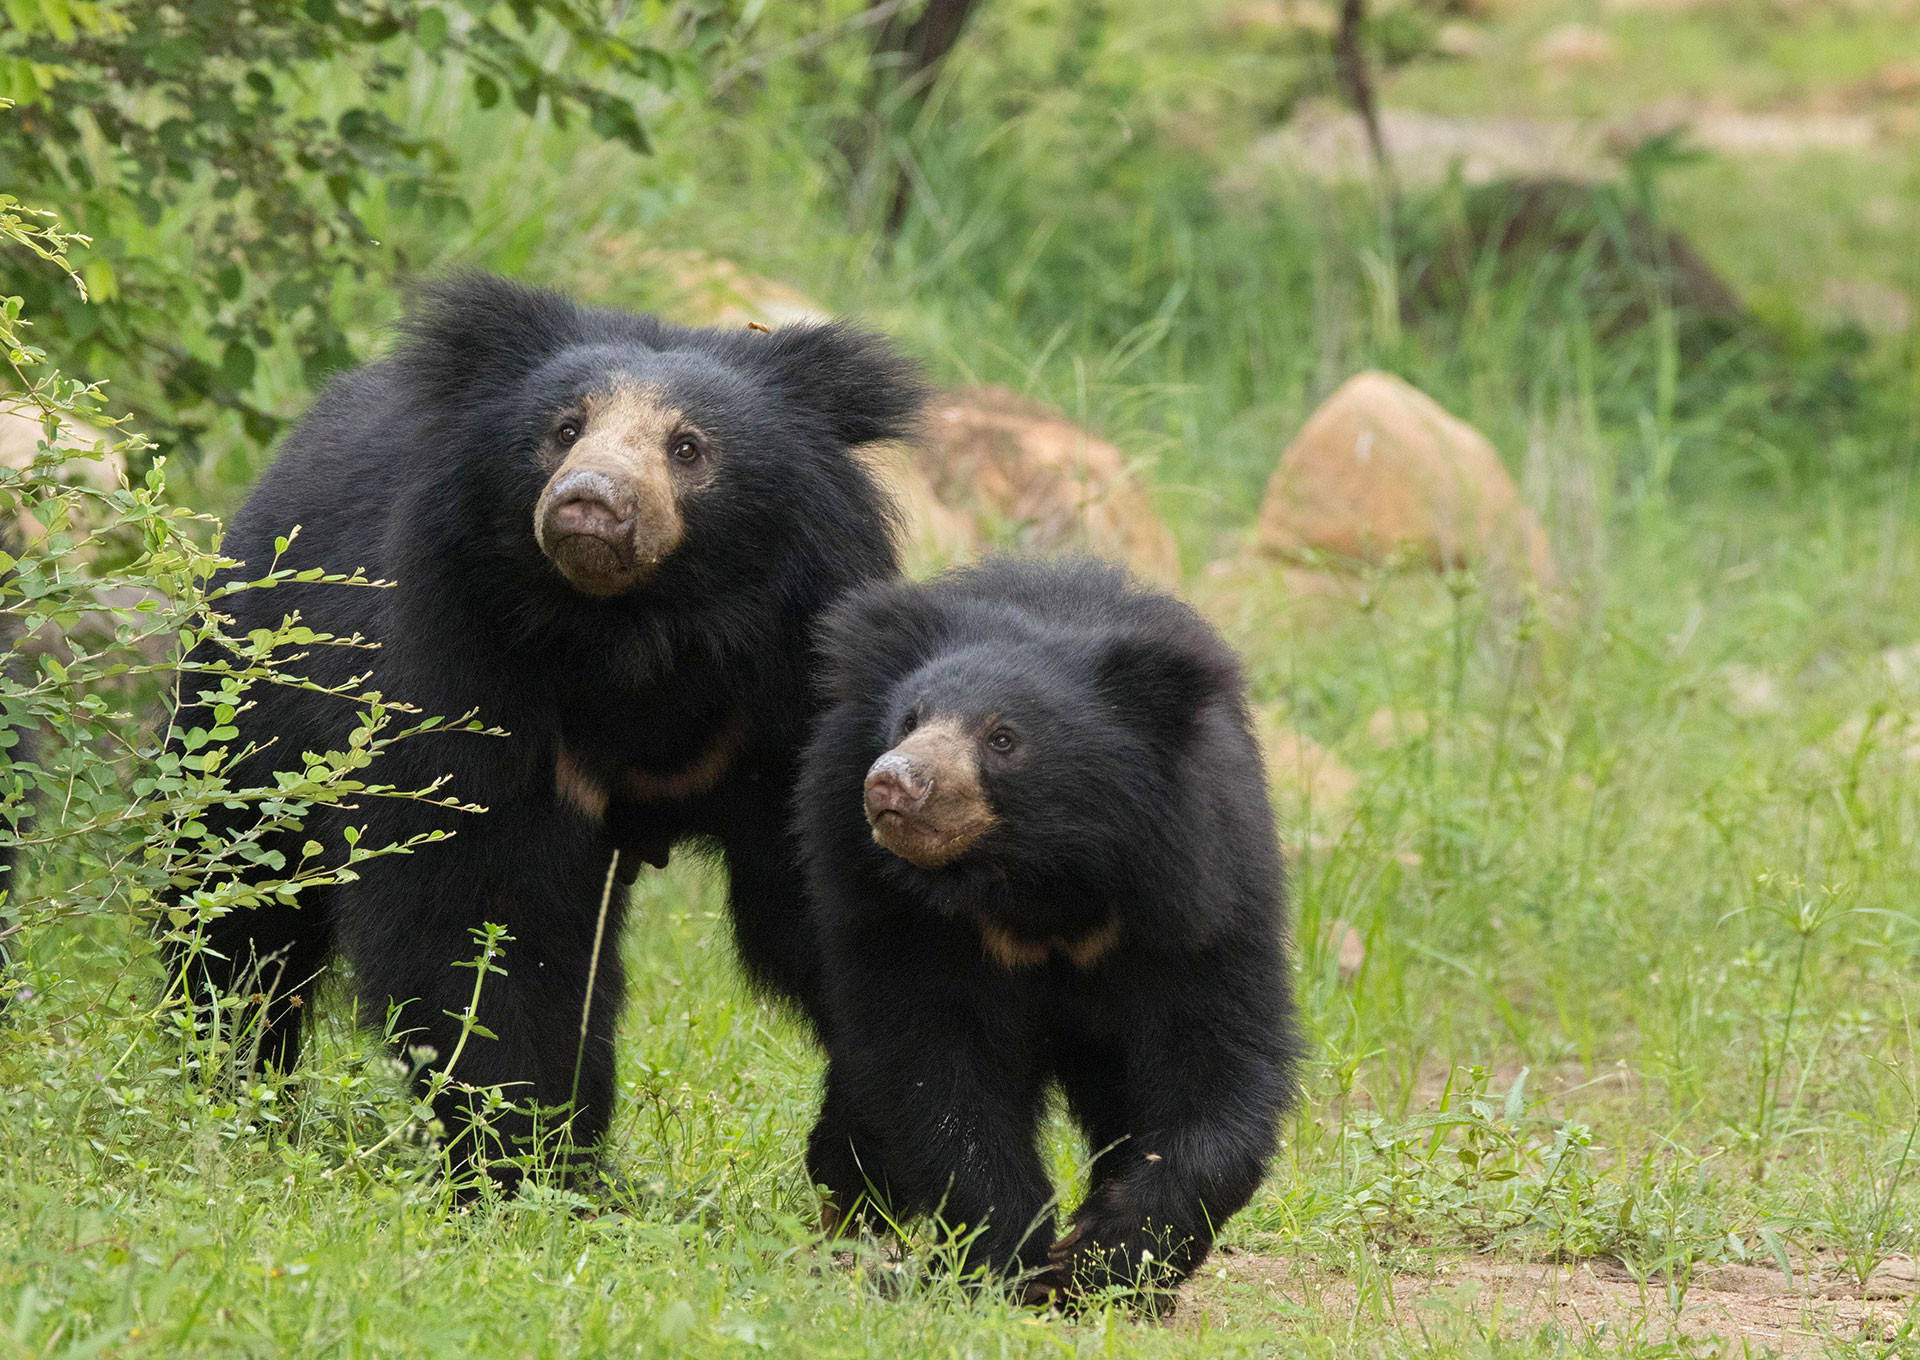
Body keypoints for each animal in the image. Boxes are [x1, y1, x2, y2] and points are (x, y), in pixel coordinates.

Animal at [794, 557, 1305, 1306]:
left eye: (1003, 738)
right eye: (909, 719)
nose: (893, 783)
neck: (1041, 881)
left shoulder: (1194, 900)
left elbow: (1216, 1058)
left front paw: (1108, 1253)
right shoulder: (907, 919)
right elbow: (937, 1070)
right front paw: (1011, 1259)